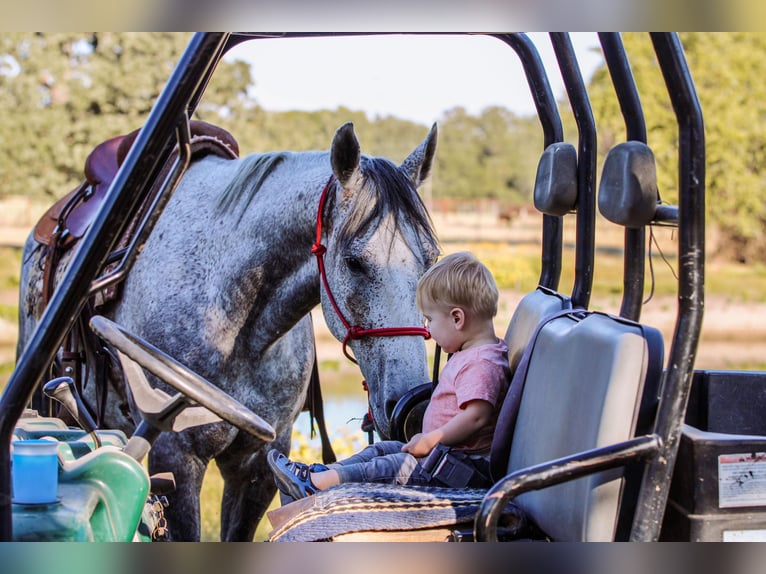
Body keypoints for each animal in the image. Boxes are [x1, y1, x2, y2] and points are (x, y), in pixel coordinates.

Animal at [16, 120, 438, 540]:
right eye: (354, 262)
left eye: (431, 260)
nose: (415, 405)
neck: (241, 330)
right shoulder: (174, 454)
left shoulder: (258, 461)